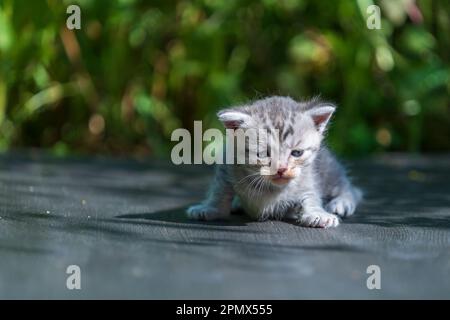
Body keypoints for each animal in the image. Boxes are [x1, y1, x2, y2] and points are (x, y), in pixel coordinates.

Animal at [186, 95, 362, 228]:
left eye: (296, 153)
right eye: (264, 154)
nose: (281, 169)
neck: (270, 188)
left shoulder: (308, 177)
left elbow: (310, 194)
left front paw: (317, 213)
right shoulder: (227, 164)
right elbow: (219, 190)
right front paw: (209, 208)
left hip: (329, 169)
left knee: (349, 188)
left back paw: (342, 202)